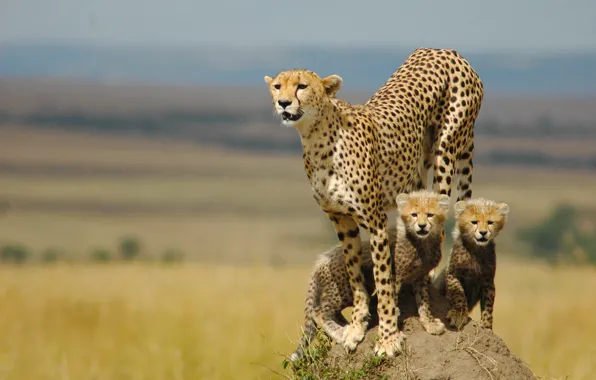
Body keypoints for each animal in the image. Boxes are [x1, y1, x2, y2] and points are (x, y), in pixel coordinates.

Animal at [266, 47, 484, 356]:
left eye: (302, 86)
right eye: (277, 86)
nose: (283, 103)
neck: (317, 139)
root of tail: (444, 50)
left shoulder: (376, 220)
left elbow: (382, 281)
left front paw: (389, 337)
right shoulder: (341, 220)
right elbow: (354, 272)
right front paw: (357, 326)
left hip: (446, 153)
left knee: (438, 229)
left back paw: (430, 308)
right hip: (417, 172)